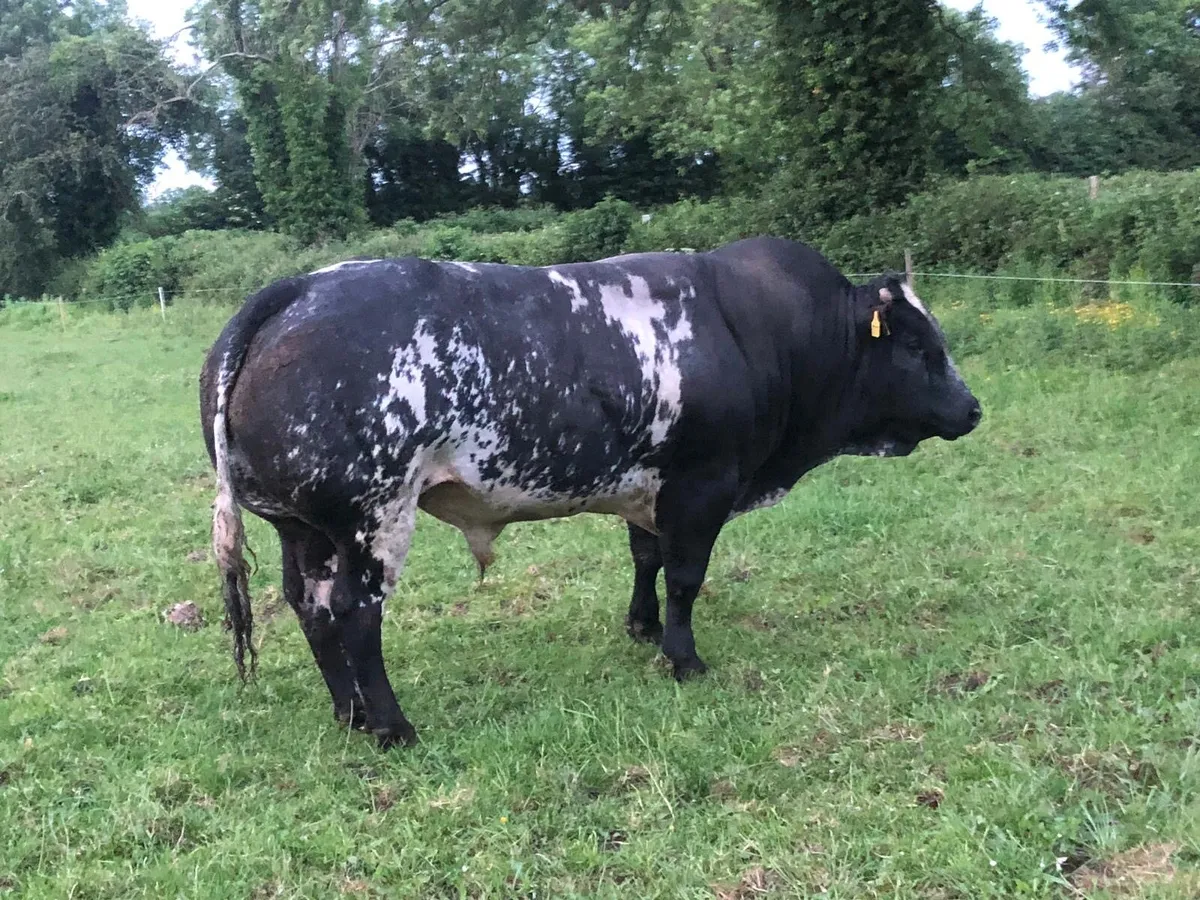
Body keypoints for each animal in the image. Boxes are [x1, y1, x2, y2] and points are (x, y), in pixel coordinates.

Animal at [199, 236, 981, 748]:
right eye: (917, 346)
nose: (973, 409)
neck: (757, 329)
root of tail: (295, 289)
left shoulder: (651, 489)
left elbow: (647, 560)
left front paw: (642, 627)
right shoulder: (703, 485)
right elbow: (686, 576)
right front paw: (684, 658)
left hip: (303, 528)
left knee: (309, 607)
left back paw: (350, 714)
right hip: (373, 519)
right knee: (355, 614)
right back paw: (391, 726)